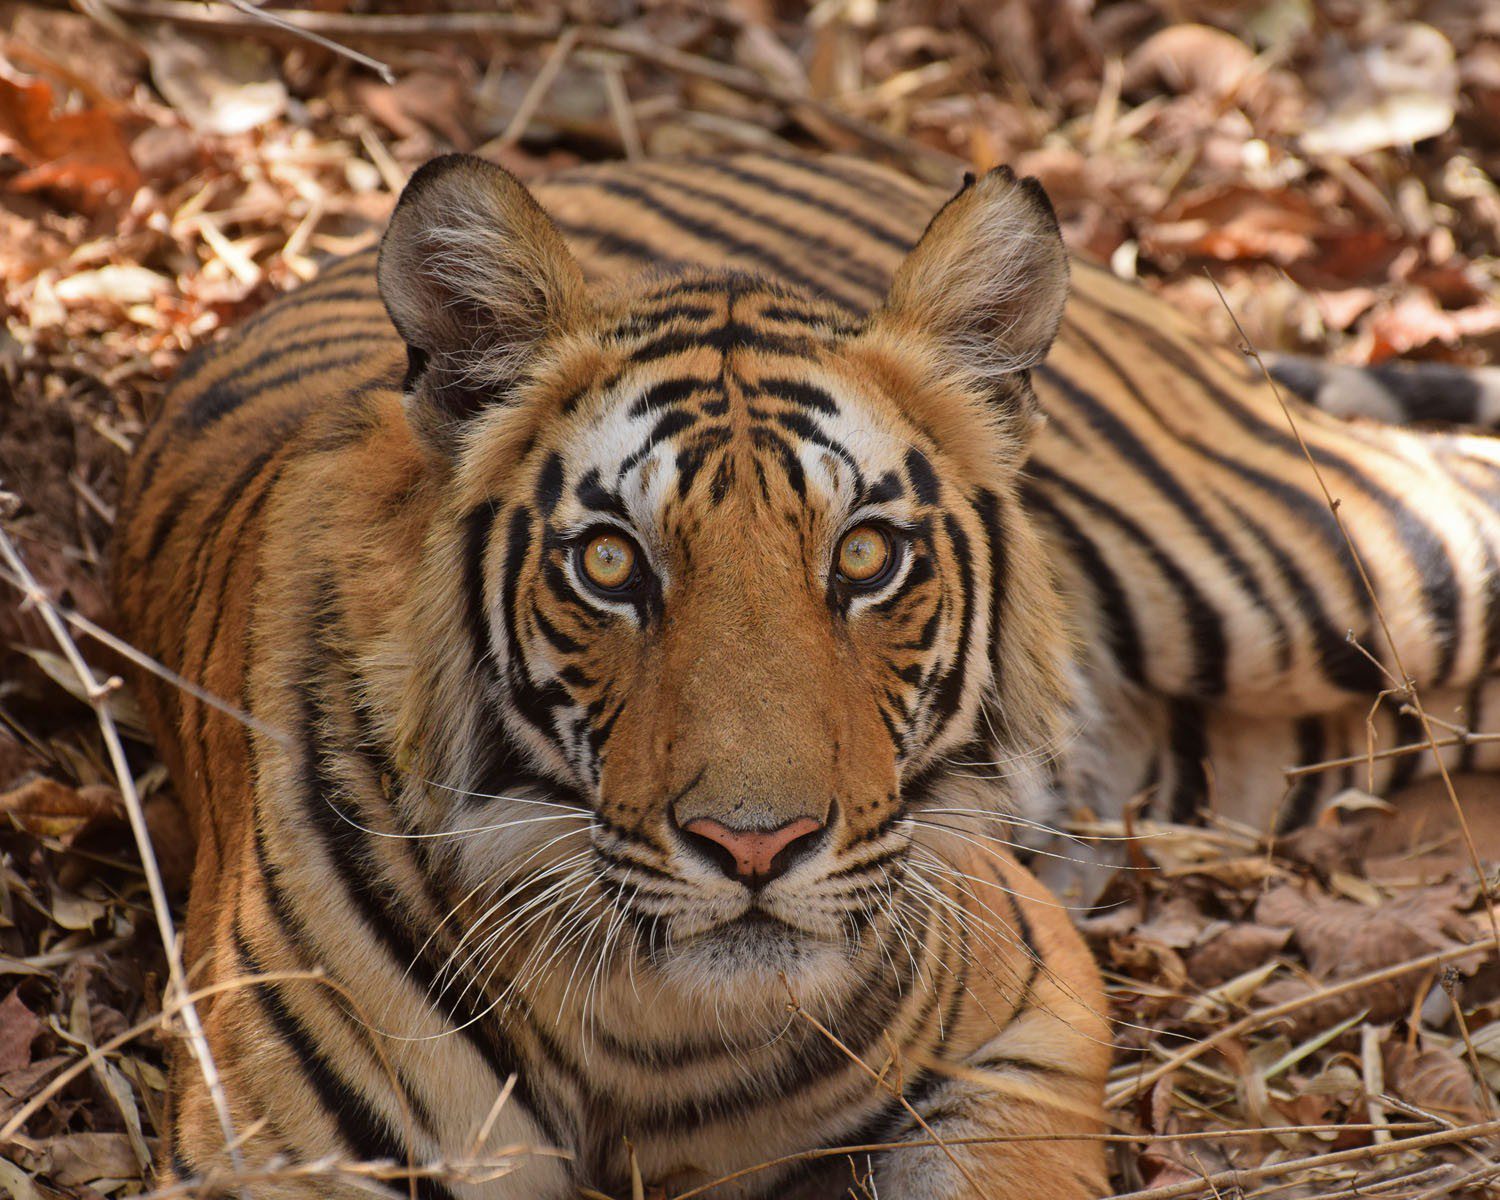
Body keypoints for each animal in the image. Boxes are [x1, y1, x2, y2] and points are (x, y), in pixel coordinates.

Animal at [111, 152, 1500, 1200]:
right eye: (611, 562)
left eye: (867, 555)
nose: (754, 846)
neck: (648, 1031)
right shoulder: (265, 1155)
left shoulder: (1030, 1018)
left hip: (1327, 570)